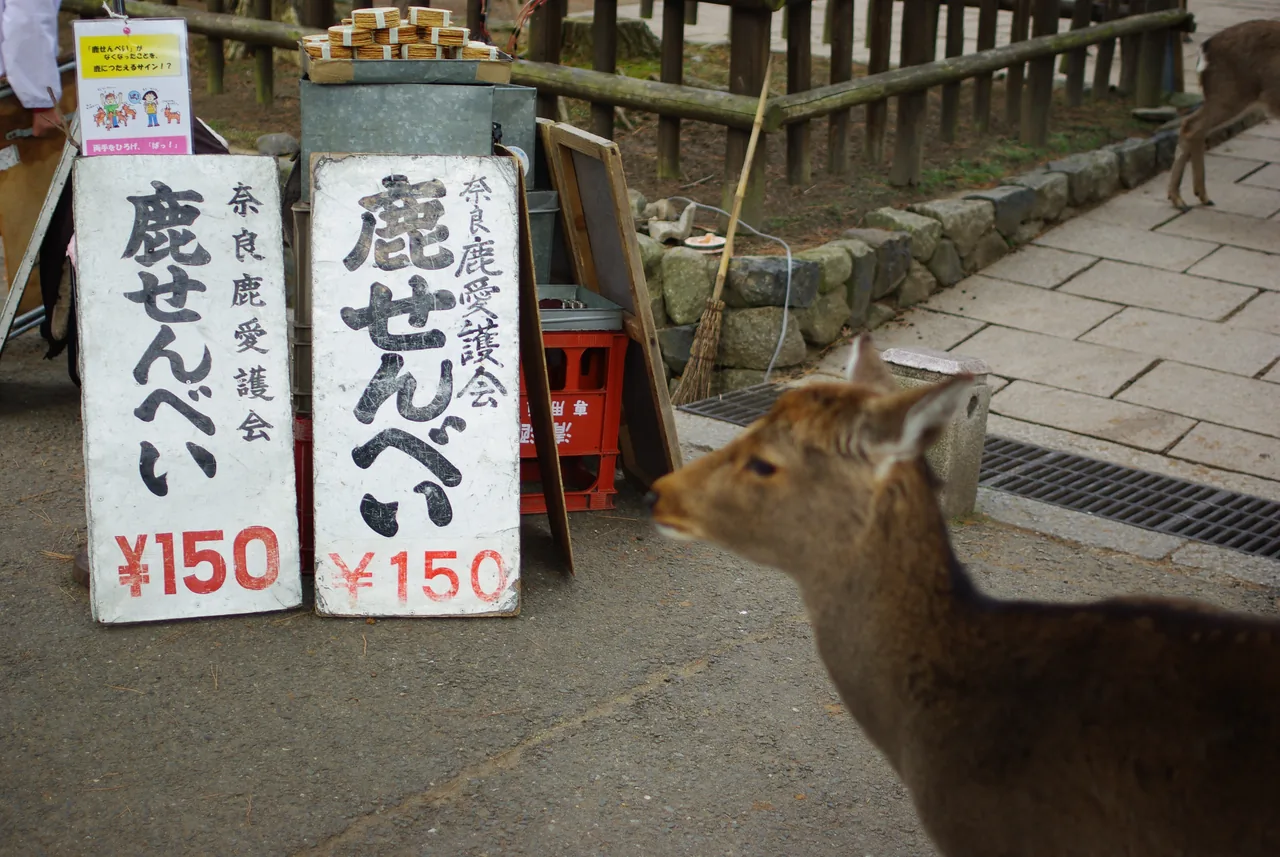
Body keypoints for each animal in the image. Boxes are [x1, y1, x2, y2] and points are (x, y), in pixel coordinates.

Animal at [1168, 18, 1280, 211]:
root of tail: (1205, 49)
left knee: (1195, 127)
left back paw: (1200, 196)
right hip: (1230, 93)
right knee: (1191, 126)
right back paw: (1180, 199)